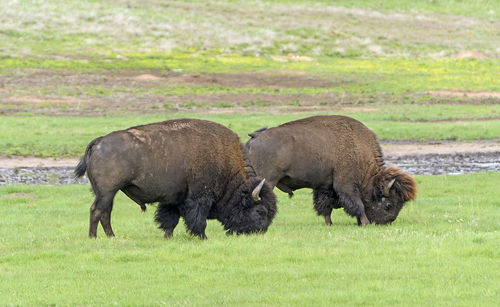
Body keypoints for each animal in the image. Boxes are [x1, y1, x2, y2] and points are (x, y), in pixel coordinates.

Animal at [74, 118, 278, 241]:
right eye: (260, 211)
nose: (259, 232)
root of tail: (99, 142)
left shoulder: (174, 199)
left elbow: (170, 219)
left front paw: (167, 237)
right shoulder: (200, 197)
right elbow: (198, 219)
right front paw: (202, 237)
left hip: (107, 193)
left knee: (105, 213)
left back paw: (111, 237)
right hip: (107, 192)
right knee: (97, 211)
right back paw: (94, 238)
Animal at [244, 115, 416, 226]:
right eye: (388, 205)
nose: (386, 222)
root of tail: (256, 136)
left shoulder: (326, 186)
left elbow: (326, 206)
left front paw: (329, 223)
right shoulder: (346, 185)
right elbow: (358, 204)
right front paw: (365, 222)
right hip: (268, 180)